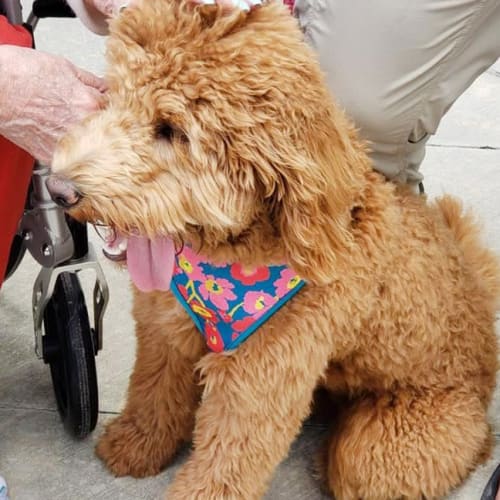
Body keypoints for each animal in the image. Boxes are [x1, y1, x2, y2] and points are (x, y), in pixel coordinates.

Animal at [45, 0, 498, 500]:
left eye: (171, 129)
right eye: (115, 96)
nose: (58, 189)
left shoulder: (260, 379)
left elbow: (226, 463)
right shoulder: (166, 330)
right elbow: (153, 390)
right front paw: (134, 445)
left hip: (391, 446)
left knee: (361, 465)